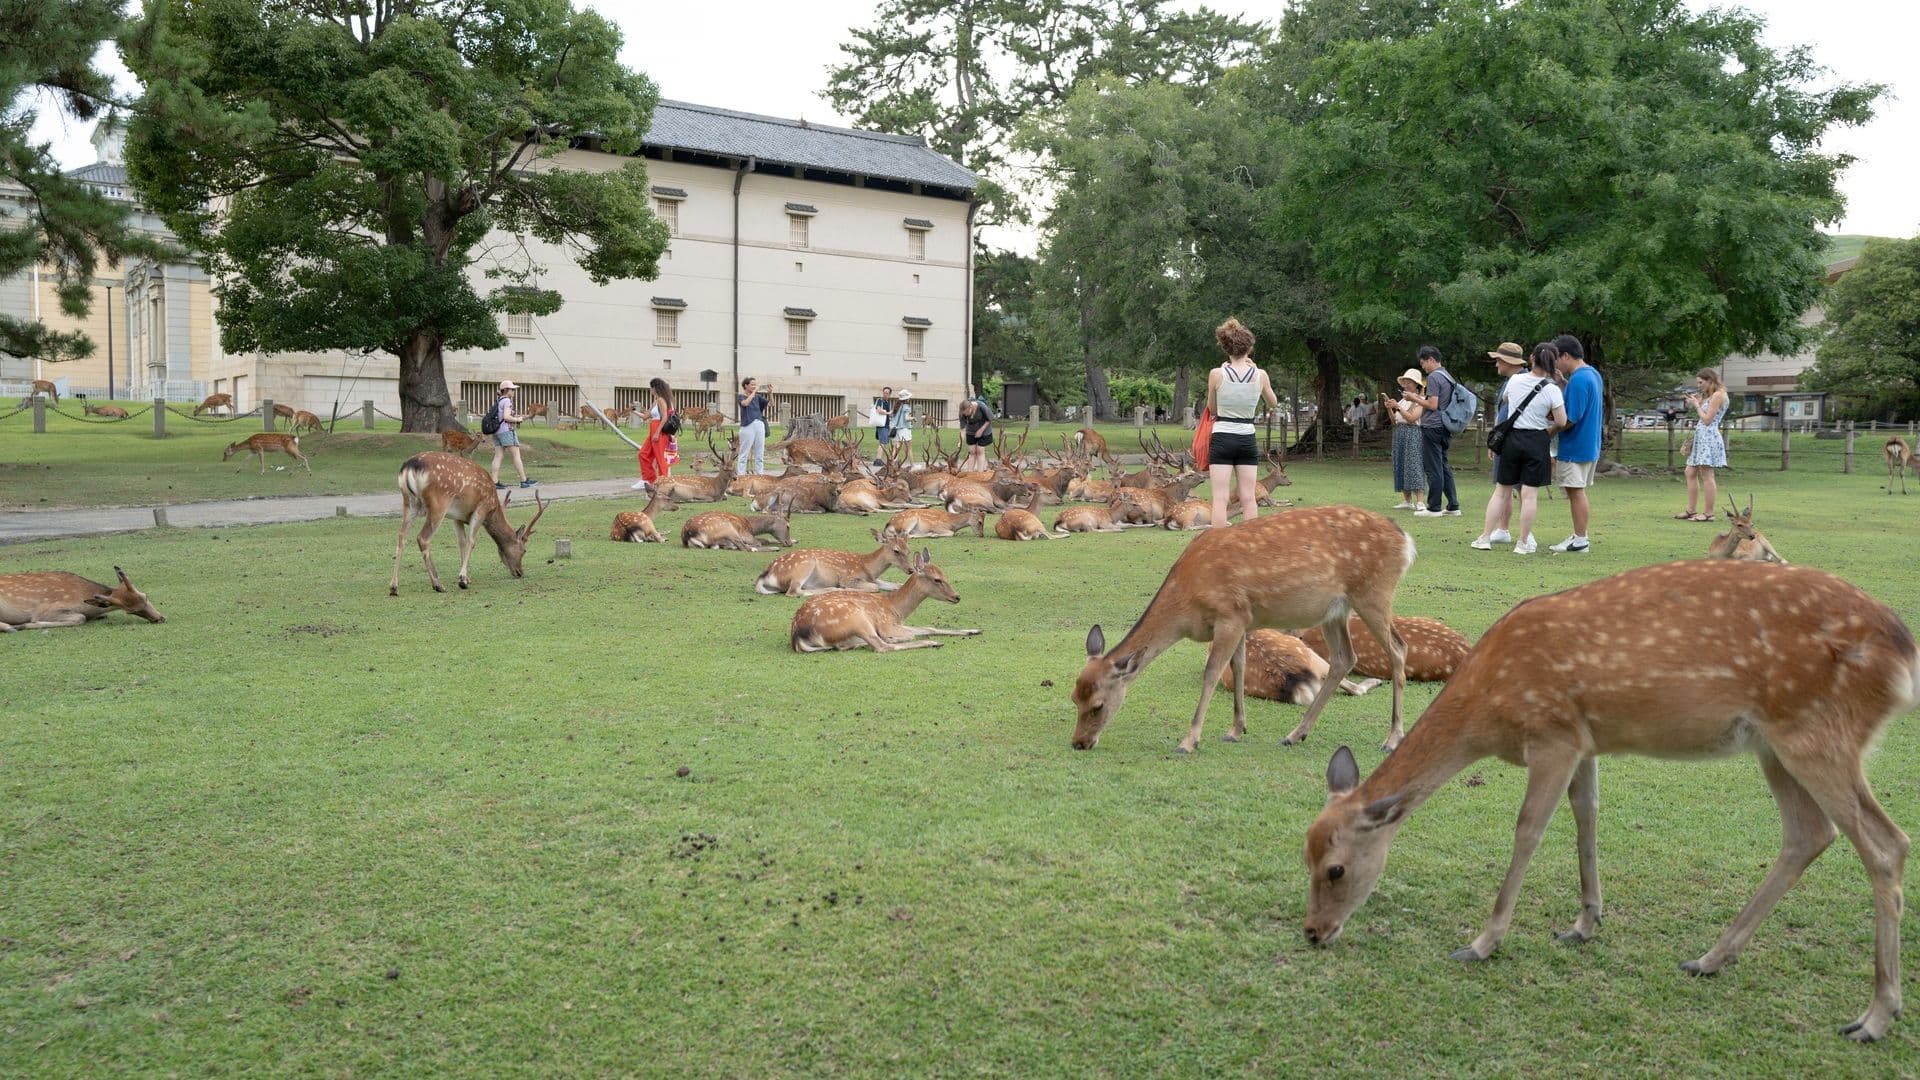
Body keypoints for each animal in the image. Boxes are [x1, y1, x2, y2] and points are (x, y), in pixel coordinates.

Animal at [0, 567, 165, 631]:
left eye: (145, 596)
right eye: (131, 611)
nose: (160, 618)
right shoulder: (44, 610)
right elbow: (80, 618)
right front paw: (26, 624)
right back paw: (11, 627)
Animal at [388, 452, 547, 594]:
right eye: (524, 550)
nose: (520, 572)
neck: (493, 508)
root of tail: (410, 467)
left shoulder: (456, 517)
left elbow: (462, 542)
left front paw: (466, 576)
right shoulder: (481, 508)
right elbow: (471, 541)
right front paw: (463, 580)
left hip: (409, 503)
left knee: (402, 536)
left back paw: (394, 587)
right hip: (438, 503)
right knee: (423, 538)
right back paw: (437, 584)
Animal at [755, 530, 916, 596]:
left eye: (909, 550)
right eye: (896, 550)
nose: (911, 570)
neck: (868, 567)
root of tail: (766, 574)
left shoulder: (873, 578)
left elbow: (895, 585)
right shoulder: (849, 578)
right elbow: (875, 588)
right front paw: (845, 589)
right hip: (803, 566)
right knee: (793, 591)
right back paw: (834, 589)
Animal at [789, 548, 980, 652]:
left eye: (944, 575)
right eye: (936, 579)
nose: (957, 597)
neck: (895, 609)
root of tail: (797, 636)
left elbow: (929, 627)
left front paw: (974, 630)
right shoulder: (886, 624)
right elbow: (912, 634)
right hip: (856, 618)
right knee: (880, 646)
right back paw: (931, 643)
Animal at [1072, 505, 1414, 754]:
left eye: (1098, 705)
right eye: (1074, 698)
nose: (1079, 743)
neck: (1187, 602)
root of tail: (1406, 542)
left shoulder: (1228, 616)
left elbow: (1212, 674)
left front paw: (1189, 741)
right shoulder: (1241, 618)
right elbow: (1238, 667)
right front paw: (1236, 730)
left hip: (1373, 593)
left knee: (1398, 649)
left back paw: (1392, 738)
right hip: (1334, 611)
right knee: (1344, 658)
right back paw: (1295, 734)